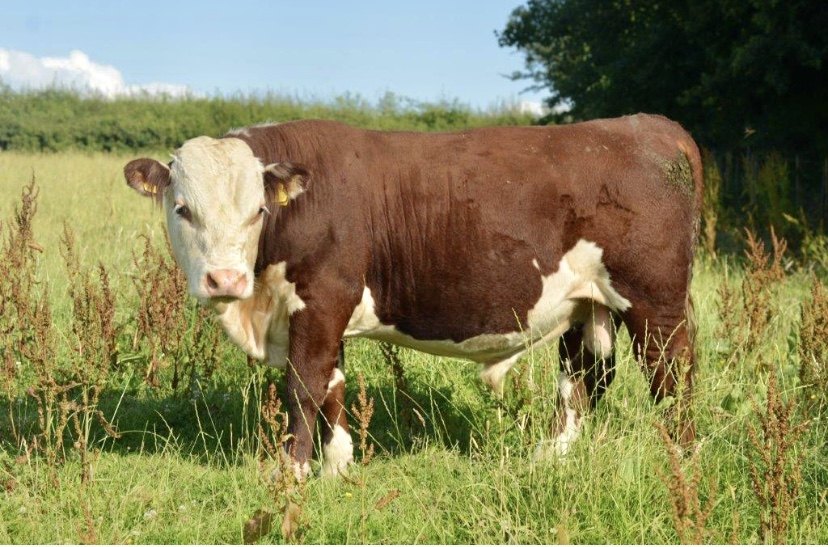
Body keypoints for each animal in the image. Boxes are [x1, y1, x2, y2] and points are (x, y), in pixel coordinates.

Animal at [124, 115, 702, 478]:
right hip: (590, 304)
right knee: (583, 378)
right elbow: (333, 386)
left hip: (655, 300)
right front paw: (338, 466)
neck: (257, 310)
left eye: (257, 212)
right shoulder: (325, 313)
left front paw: (291, 472)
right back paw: (551, 456)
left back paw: (683, 454)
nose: (225, 280)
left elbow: (304, 386)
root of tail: (651, 125)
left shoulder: (323, 298)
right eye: (182, 209)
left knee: (672, 372)